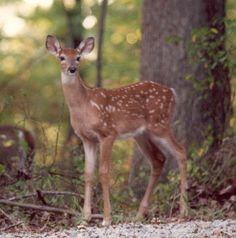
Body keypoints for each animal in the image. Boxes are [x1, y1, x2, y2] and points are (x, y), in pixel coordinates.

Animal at [45, 34, 188, 225]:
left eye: (78, 57)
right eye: (61, 57)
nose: (72, 69)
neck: (84, 105)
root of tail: (172, 92)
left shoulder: (107, 132)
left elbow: (104, 172)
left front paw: (106, 218)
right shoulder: (87, 138)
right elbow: (88, 173)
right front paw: (85, 217)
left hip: (160, 124)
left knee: (181, 151)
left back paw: (184, 210)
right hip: (142, 134)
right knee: (159, 159)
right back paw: (139, 214)